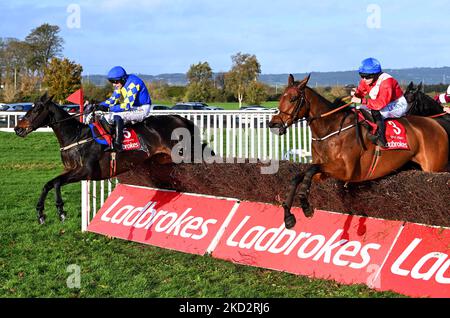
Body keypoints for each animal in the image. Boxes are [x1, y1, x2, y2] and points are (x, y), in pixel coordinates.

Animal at [14, 93, 208, 225]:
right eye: (30, 107)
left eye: (36, 109)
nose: (18, 129)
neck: (76, 137)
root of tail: (180, 119)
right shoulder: (69, 170)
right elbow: (49, 184)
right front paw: (41, 213)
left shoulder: (85, 171)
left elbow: (55, 183)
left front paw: (61, 209)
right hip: (164, 159)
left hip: (186, 154)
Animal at [268, 74, 448, 229]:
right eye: (281, 97)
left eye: (293, 98)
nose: (274, 124)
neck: (330, 129)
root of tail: (436, 124)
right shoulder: (323, 172)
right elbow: (300, 175)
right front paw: (288, 215)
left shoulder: (346, 171)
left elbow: (310, 170)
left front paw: (305, 204)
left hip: (433, 167)